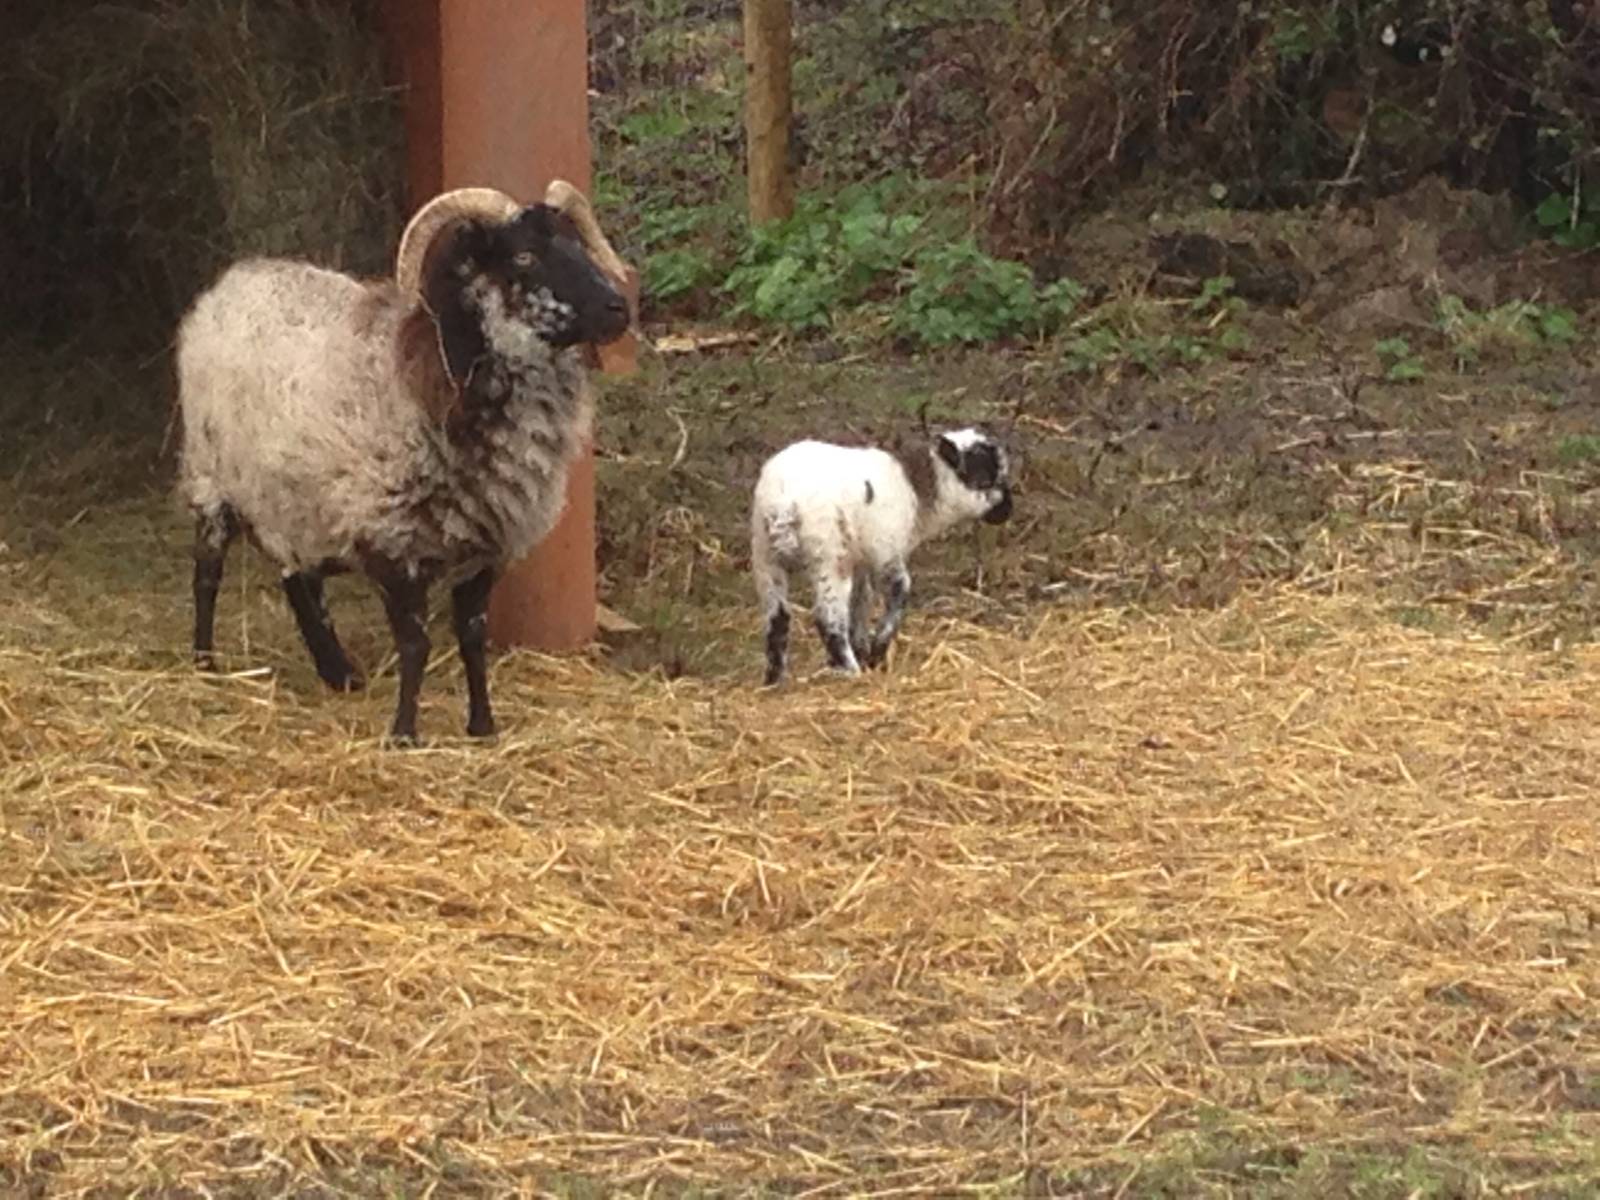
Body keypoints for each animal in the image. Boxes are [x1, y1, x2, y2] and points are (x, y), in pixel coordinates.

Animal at [175, 181, 631, 744]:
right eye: (524, 255)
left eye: (578, 242)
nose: (618, 308)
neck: (444, 372)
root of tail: (235, 278)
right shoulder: (391, 538)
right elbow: (416, 644)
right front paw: (404, 734)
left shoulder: (486, 547)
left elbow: (472, 637)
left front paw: (483, 727)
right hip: (211, 474)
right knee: (207, 573)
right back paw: (205, 663)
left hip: (294, 494)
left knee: (298, 577)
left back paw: (337, 671)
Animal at [750, 426, 1014, 685]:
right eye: (986, 480)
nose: (1007, 511)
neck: (920, 488)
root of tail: (783, 502)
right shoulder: (886, 554)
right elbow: (899, 592)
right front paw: (877, 654)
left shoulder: (861, 561)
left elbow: (861, 601)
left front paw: (862, 649)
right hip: (828, 557)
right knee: (828, 618)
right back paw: (851, 671)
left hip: (765, 556)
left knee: (778, 618)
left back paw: (774, 680)